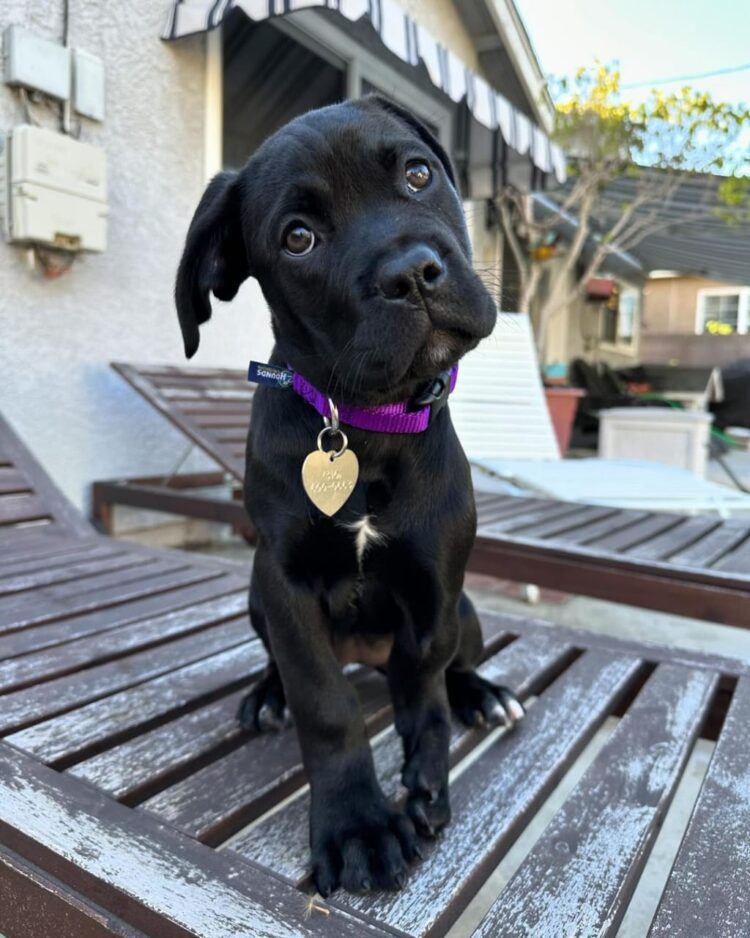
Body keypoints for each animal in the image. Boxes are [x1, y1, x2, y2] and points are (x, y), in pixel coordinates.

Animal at [177, 95, 524, 892]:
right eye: (298, 238)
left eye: (419, 173)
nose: (413, 274)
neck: (364, 426)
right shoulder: (285, 581)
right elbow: (326, 703)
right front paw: (357, 823)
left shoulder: (436, 585)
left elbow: (424, 683)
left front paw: (427, 774)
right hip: (256, 599)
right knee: (291, 669)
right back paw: (265, 695)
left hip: (466, 610)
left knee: (452, 662)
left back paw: (481, 693)